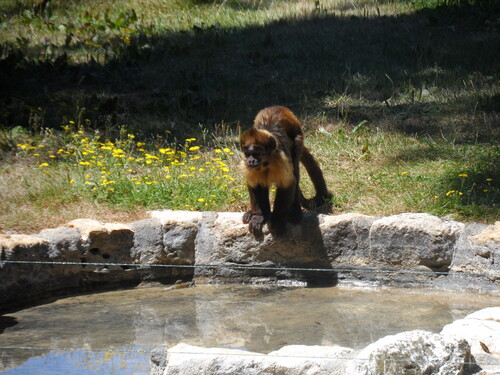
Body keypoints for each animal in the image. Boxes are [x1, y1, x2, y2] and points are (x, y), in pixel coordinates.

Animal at [239, 106, 330, 238]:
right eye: (247, 154)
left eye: (256, 153)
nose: (251, 161)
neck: (266, 163)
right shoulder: (247, 165)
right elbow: (256, 185)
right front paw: (259, 216)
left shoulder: (280, 159)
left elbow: (288, 184)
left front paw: (277, 219)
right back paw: (255, 213)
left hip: (298, 135)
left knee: (295, 162)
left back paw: (295, 210)